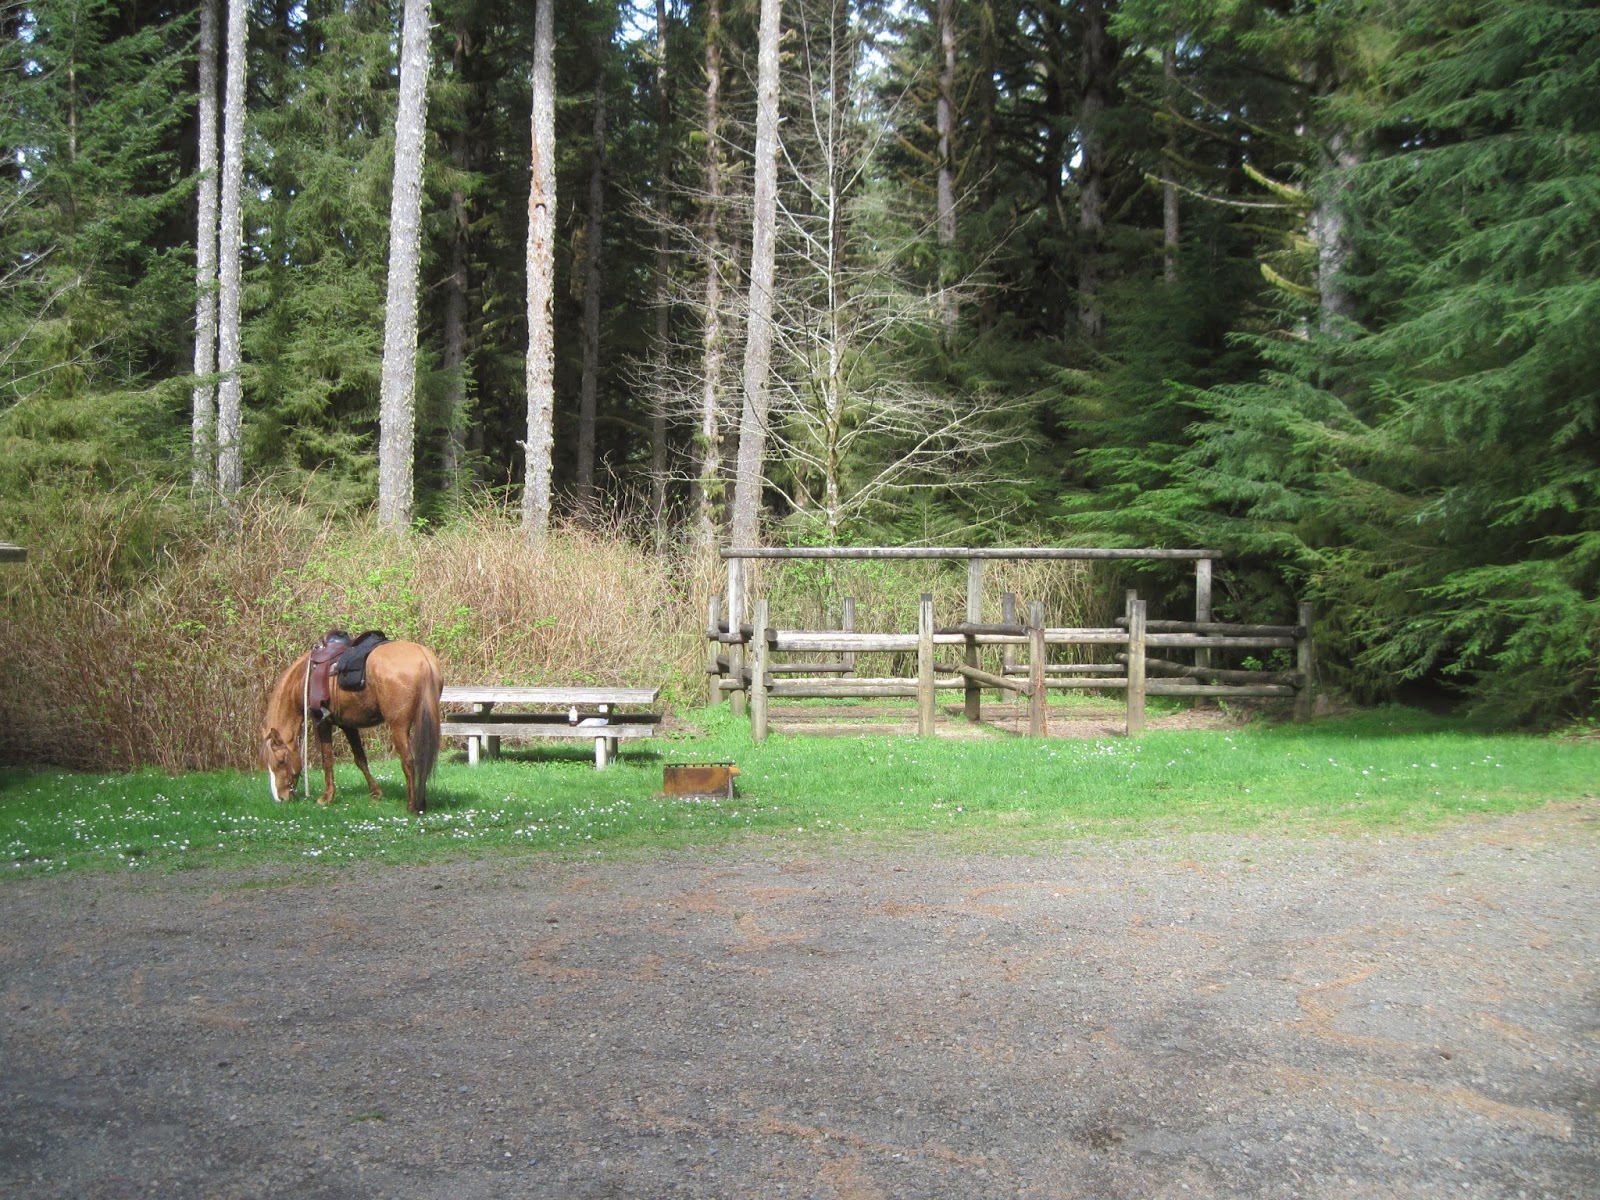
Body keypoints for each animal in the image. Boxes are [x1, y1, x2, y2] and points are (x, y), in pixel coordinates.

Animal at [260, 638, 444, 814]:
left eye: (280, 762)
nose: (280, 798)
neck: (304, 678)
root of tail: (423, 659)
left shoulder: (322, 722)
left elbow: (327, 760)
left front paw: (326, 797)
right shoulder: (348, 725)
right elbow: (360, 759)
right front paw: (376, 793)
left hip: (399, 726)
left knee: (408, 761)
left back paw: (412, 806)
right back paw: (421, 803)